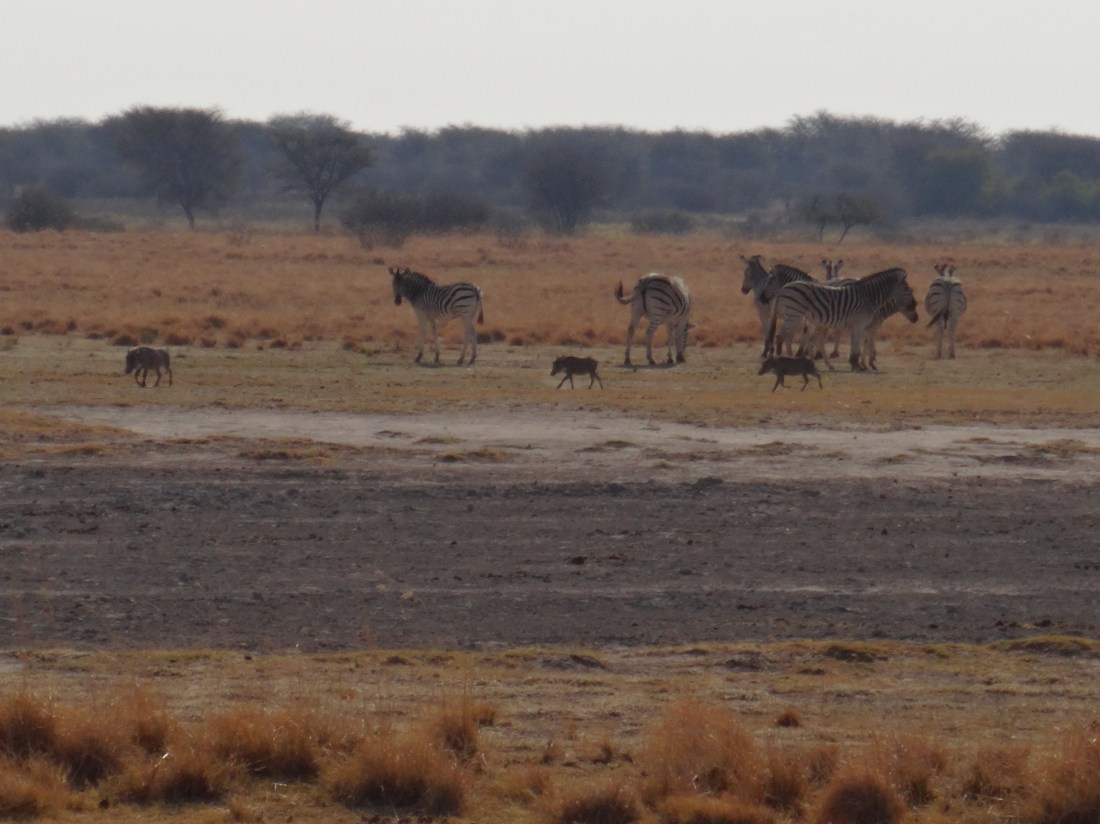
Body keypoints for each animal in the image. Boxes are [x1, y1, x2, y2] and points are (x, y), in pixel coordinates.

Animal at [766, 268, 913, 371]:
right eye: (907, 288)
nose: (913, 307)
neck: (869, 296)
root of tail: (784, 287)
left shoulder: (858, 325)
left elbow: (856, 344)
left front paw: (855, 364)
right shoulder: (859, 323)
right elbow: (857, 345)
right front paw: (857, 365)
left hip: (794, 316)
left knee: (785, 337)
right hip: (793, 315)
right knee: (780, 337)